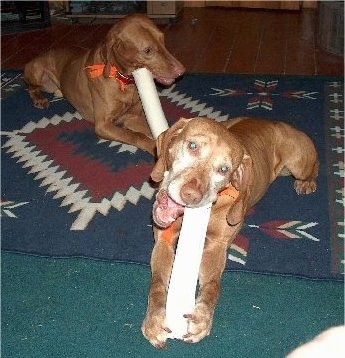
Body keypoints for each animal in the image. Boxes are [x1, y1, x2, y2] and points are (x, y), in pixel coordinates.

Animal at [23, 14, 185, 155]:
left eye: (162, 40)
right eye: (148, 50)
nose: (181, 71)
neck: (123, 81)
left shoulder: (132, 118)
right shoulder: (103, 126)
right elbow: (136, 136)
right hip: (38, 74)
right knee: (30, 87)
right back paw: (39, 99)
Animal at [141, 116, 318, 348]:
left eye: (224, 169)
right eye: (192, 146)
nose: (191, 195)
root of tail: (275, 122)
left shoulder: (216, 247)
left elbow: (212, 286)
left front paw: (202, 318)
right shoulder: (163, 241)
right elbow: (158, 284)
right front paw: (154, 320)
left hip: (299, 164)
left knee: (314, 166)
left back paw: (307, 182)